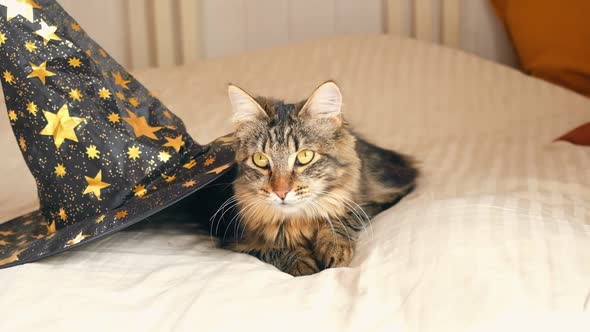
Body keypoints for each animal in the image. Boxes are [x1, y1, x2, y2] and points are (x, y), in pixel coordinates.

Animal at [209, 81, 420, 276]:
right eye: (260, 159)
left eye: (305, 156)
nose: (281, 193)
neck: (297, 221)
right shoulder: (235, 242)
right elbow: (274, 250)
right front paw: (302, 264)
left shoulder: (367, 203)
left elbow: (341, 218)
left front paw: (334, 249)